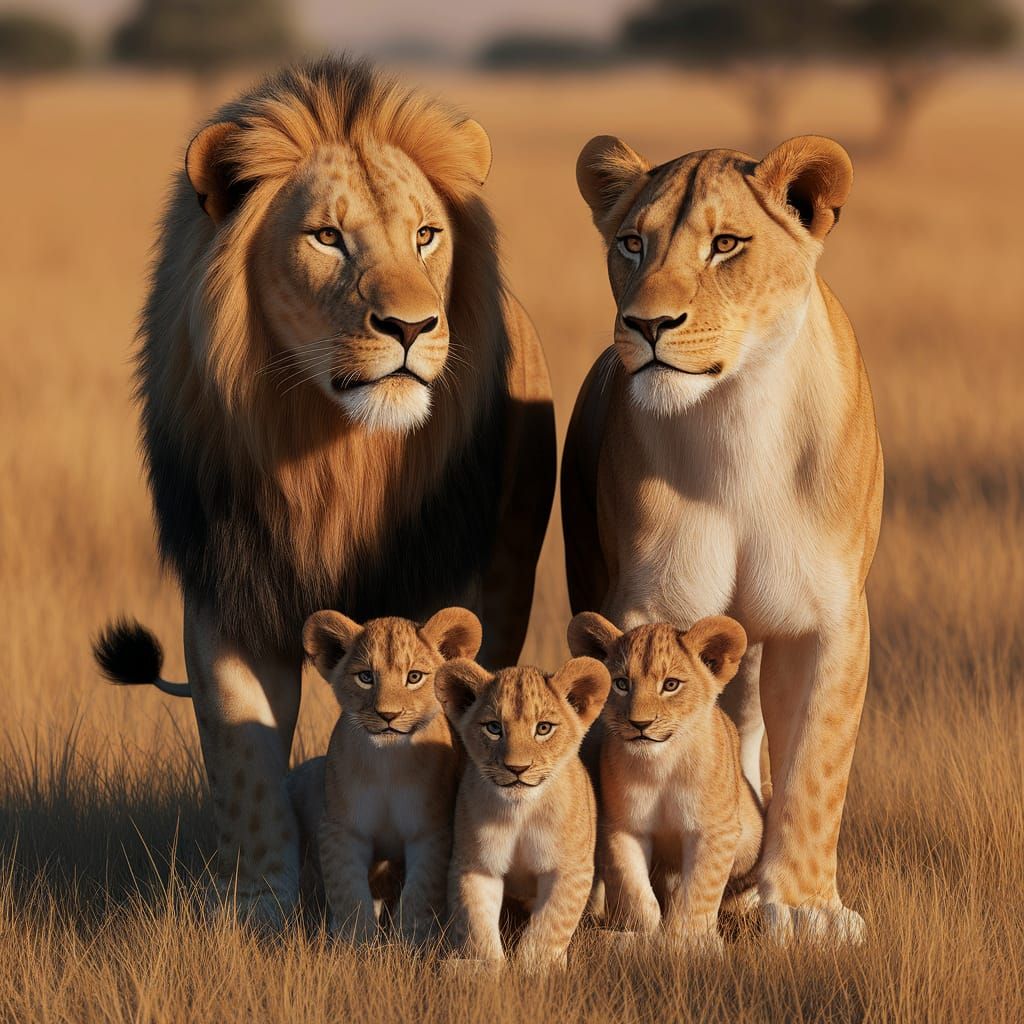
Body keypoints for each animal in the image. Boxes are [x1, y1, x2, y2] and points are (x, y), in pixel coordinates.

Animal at [93, 57, 555, 926]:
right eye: (327, 238)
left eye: (426, 235)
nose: (412, 327)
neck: (334, 456)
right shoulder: (229, 594)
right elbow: (245, 765)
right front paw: (259, 910)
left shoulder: (441, 589)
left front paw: (421, 906)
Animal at [435, 657, 610, 971]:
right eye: (494, 727)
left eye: (543, 728)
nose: (517, 768)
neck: (521, 812)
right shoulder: (475, 866)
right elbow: (475, 924)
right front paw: (488, 969)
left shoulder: (571, 868)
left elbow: (550, 925)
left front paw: (533, 970)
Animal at [568, 613, 762, 951]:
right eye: (621, 684)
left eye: (670, 685)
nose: (640, 724)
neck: (660, 766)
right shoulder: (621, 828)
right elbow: (636, 893)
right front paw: (638, 938)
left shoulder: (715, 830)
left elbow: (697, 891)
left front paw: (687, 942)